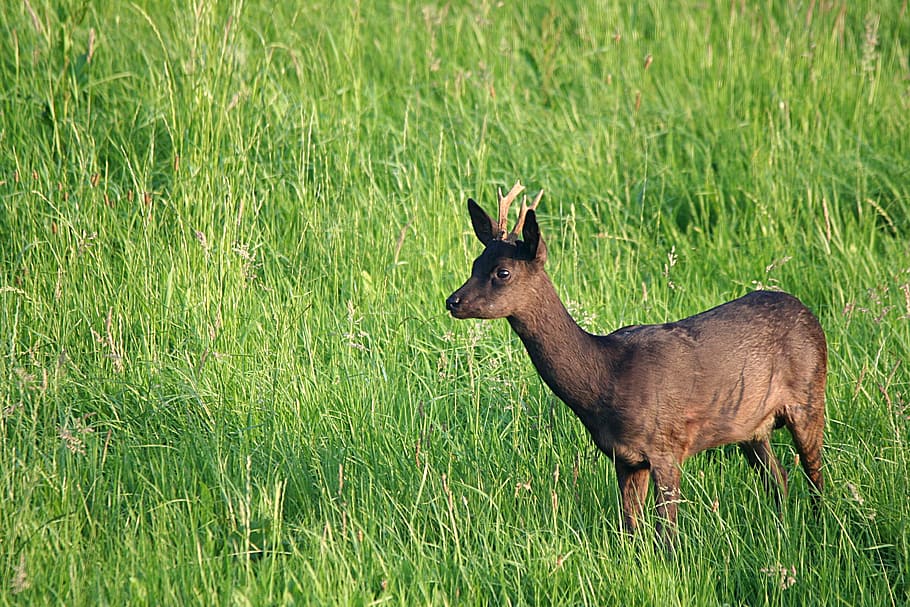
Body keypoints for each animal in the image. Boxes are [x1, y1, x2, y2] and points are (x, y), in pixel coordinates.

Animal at [445, 181, 826, 546]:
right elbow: (629, 528)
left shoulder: (666, 445)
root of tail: (809, 313)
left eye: (503, 272)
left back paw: (818, 526)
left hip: (810, 394)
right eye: (474, 265)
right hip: (751, 427)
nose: (453, 301)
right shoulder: (625, 458)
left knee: (815, 476)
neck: (606, 379)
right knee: (778, 480)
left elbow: (666, 534)